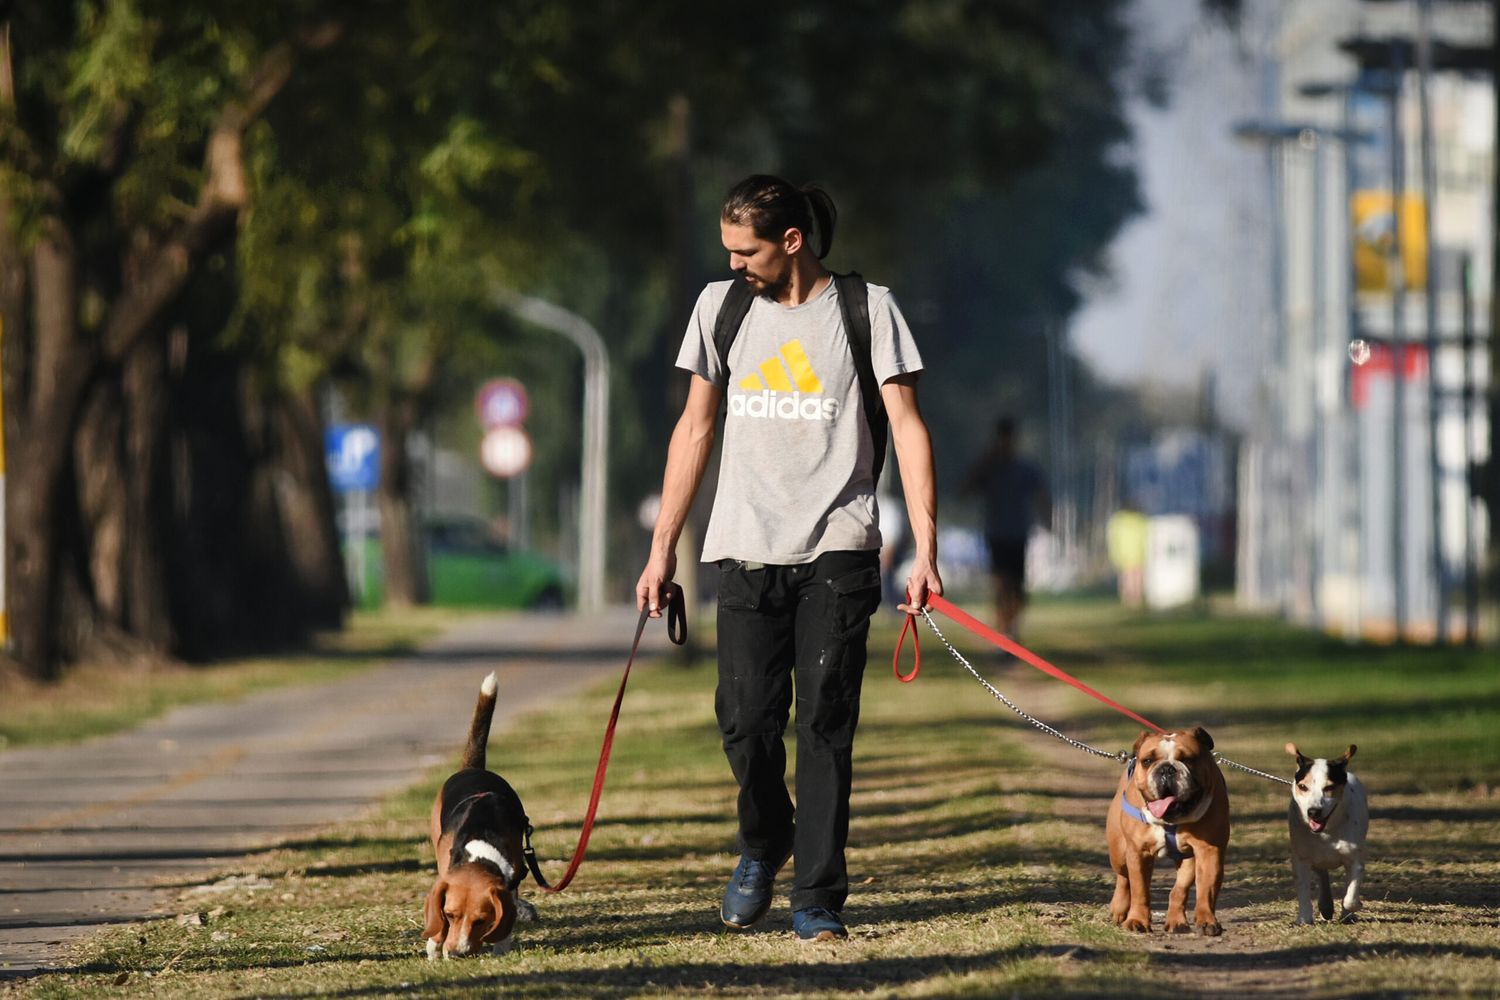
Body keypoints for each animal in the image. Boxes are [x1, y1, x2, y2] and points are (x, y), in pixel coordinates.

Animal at [423, 671, 534, 959]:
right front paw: (434, 949)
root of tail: (473, 769)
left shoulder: (512, 882)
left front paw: (500, 950)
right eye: (449, 915)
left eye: (482, 920)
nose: (458, 953)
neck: (480, 849)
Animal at [1104, 728, 1230, 941]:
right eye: (1147, 761)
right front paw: (1137, 921)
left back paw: (1177, 921)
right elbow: (1139, 889)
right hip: (1119, 852)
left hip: (1188, 859)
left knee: (1179, 889)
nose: (1166, 769)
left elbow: (1206, 888)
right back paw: (1118, 909)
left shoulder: (1209, 850)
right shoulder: (1138, 852)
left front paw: (1207, 921)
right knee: (1123, 878)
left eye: (1188, 759)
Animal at [1284, 743, 1368, 923]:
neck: (1327, 832)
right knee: (1322, 874)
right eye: (1303, 787)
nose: (1313, 811)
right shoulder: (1301, 859)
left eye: (1329, 787)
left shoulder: (1354, 859)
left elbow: (1350, 896)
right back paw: (1326, 905)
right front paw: (1304, 918)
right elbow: (1303, 890)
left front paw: (1353, 908)